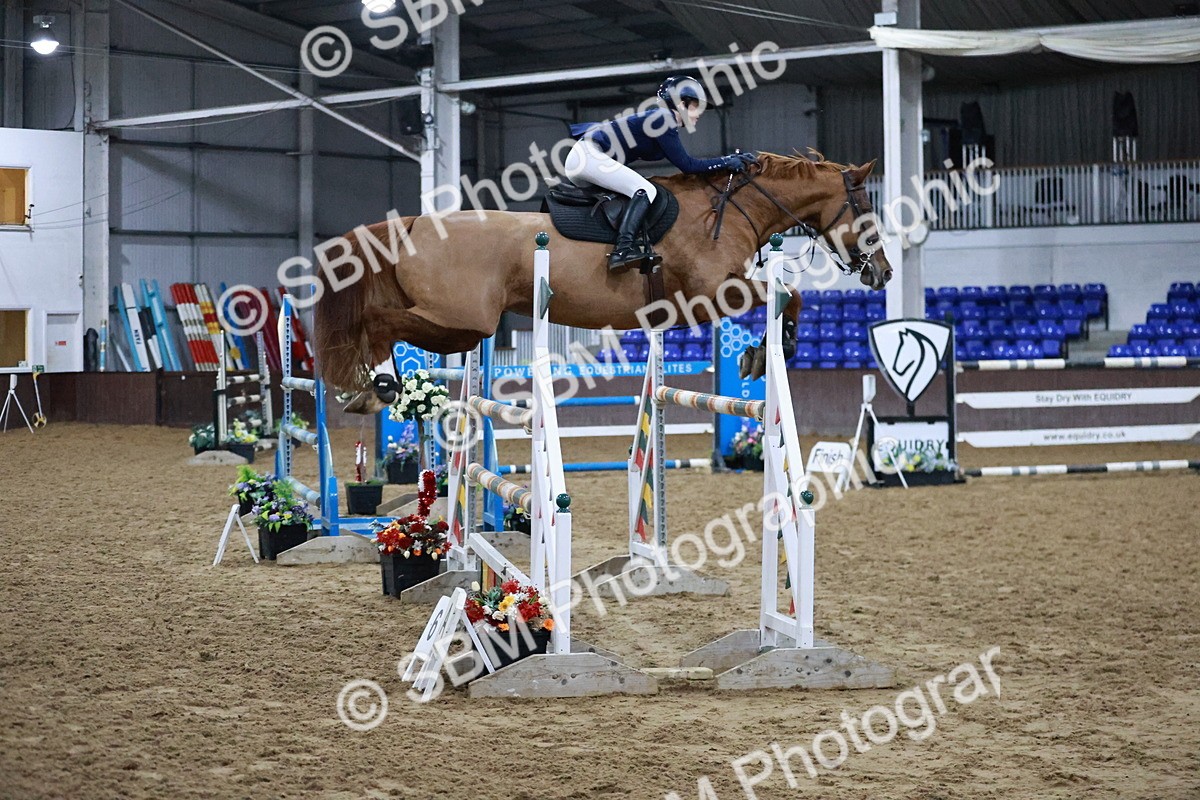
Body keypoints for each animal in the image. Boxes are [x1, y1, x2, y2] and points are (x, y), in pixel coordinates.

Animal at [313, 151, 893, 411]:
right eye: (866, 210)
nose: (883, 272)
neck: (730, 210)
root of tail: (412, 224)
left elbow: (786, 297)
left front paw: (760, 353)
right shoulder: (708, 294)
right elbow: (790, 296)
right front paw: (770, 350)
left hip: (461, 326)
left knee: (382, 323)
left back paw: (374, 391)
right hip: (462, 321)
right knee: (378, 322)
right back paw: (382, 387)